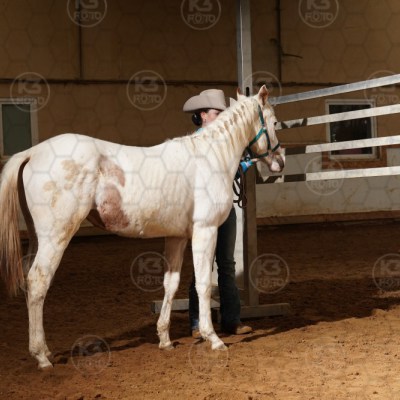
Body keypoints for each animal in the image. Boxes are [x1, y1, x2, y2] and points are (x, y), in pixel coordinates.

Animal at [0, 85, 284, 369]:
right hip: (56, 236)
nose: (280, 162)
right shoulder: (206, 230)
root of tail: (32, 153)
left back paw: (46, 352)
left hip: (38, 237)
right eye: (274, 123)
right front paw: (212, 338)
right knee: (38, 282)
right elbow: (203, 284)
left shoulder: (177, 236)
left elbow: (171, 283)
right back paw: (41, 355)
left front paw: (165, 339)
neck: (211, 158)